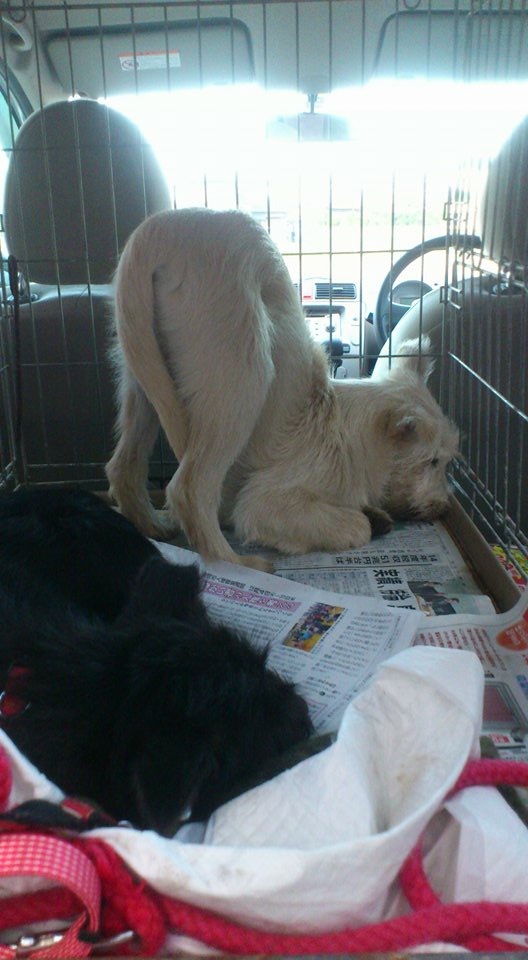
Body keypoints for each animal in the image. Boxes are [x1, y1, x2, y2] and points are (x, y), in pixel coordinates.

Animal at [106, 208, 458, 568]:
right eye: (432, 461)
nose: (443, 509)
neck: (350, 432)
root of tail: (158, 231)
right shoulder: (272, 499)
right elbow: (353, 525)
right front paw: (359, 523)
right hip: (244, 372)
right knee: (189, 489)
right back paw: (236, 563)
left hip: (142, 373)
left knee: (122, 466)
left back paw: (153, 524)